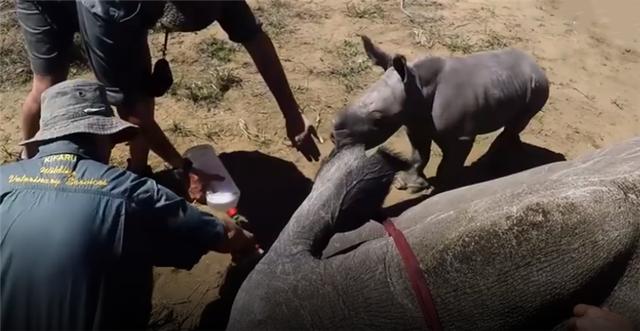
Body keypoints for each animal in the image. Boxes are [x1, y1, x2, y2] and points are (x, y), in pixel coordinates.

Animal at [332, 35, 548, 193]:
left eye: (378, 120)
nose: (334, 138)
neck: (417, 87)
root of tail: (537, 66)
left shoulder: (461, 136)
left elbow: (448, 164)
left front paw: (443, 188)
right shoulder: (415, 122)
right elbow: (419, 155)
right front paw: (407, 184)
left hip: (538, 87)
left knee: (517, 122)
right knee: (513, 125)